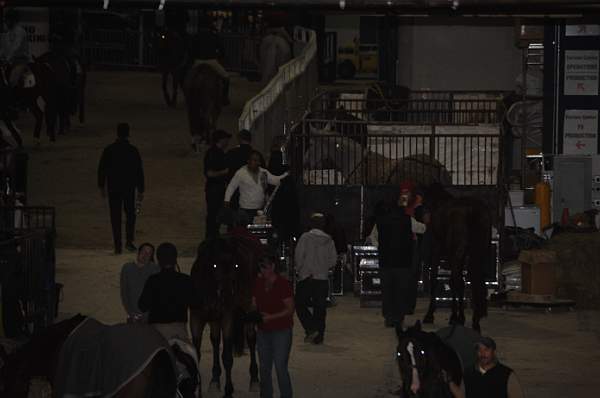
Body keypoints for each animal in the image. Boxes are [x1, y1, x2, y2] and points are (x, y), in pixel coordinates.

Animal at [189, 235, 262, 398]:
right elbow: (197, 354)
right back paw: (215, 379)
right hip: (215, 319)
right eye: (214, 265)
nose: (228, 294)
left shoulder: (227, 317)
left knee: (251, 338)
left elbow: (227, 357)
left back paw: (254, 379)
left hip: (248, 306)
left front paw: (228, 390)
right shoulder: (196, 318)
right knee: (215, 341)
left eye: (236, 265)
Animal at [422, 183, 492, 332]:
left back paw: (461, 318)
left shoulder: (438, 250)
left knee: (460, 281)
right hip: (477, 253)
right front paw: (455, 315)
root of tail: (472, 210)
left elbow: (437, 279)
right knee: (476, 280)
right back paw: (475, 321)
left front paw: (431, 315)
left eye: (425, 200)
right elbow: (453, 281)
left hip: (457, 254)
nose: (424, 217)